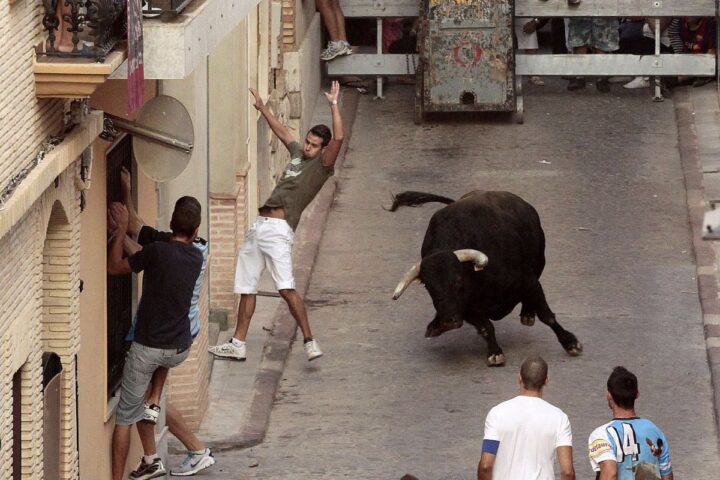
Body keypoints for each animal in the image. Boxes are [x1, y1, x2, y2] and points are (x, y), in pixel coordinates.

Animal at [390, 189, 584, 366]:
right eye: (428, 286)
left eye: (458, 279)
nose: (448, 322)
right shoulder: (467, 309)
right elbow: (485, 327)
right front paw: (495, 352)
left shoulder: (528, 281)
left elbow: (547, 315)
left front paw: (571, 343)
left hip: (539, 262)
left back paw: (528, 314)